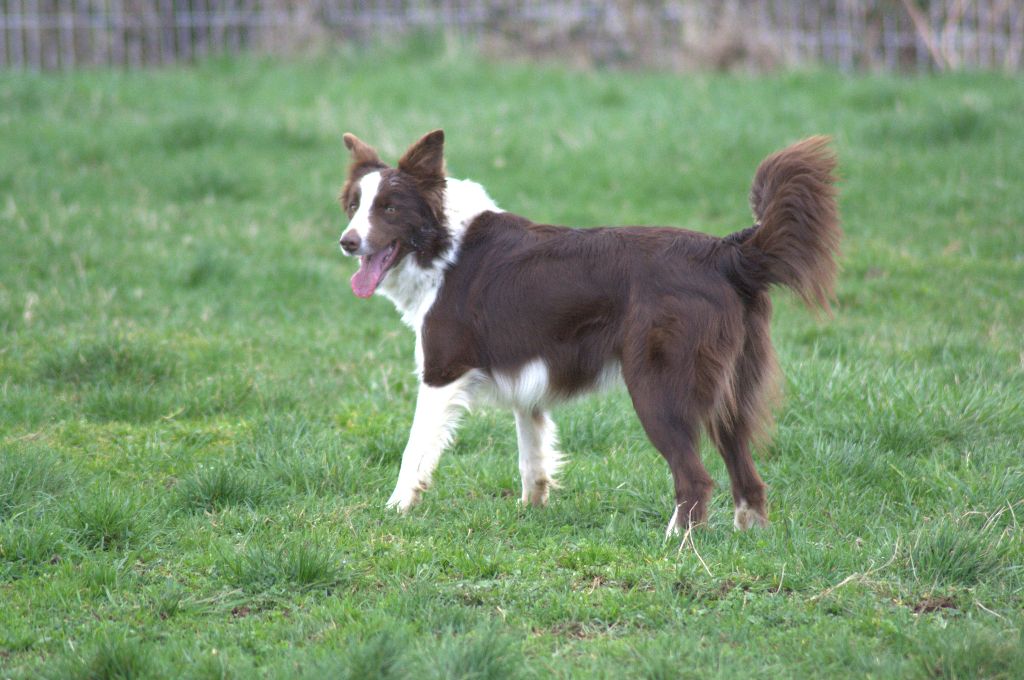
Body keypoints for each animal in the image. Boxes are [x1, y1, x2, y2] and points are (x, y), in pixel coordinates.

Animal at [335, 130, 839, 532]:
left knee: (695, 478)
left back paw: (674, 544)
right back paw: (749, 538)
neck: (443, 244)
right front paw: (530, 512)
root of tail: (724, 253)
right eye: (354, 206)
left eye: (389, 208)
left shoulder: (442, 372)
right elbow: (532, 456)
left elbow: (413, 450)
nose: (347, 242)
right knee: (747, 474)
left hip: (658, 390)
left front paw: (395, 508)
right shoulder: (526, 377)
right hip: (729, 393)